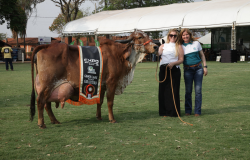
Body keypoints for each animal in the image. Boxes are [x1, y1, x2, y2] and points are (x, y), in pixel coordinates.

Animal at [29, 30, 158, 128]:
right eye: (140, 37)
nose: (156, 46)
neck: (120, 55)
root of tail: (47, 45)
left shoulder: (102, 85)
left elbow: (100, 101)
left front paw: (99, 117)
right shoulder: (112, 82)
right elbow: (110, 102)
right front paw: (112, 119)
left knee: (47, 104)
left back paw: (54, 121)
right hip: (48, 84)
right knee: (40, 101)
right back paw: (41, 124)